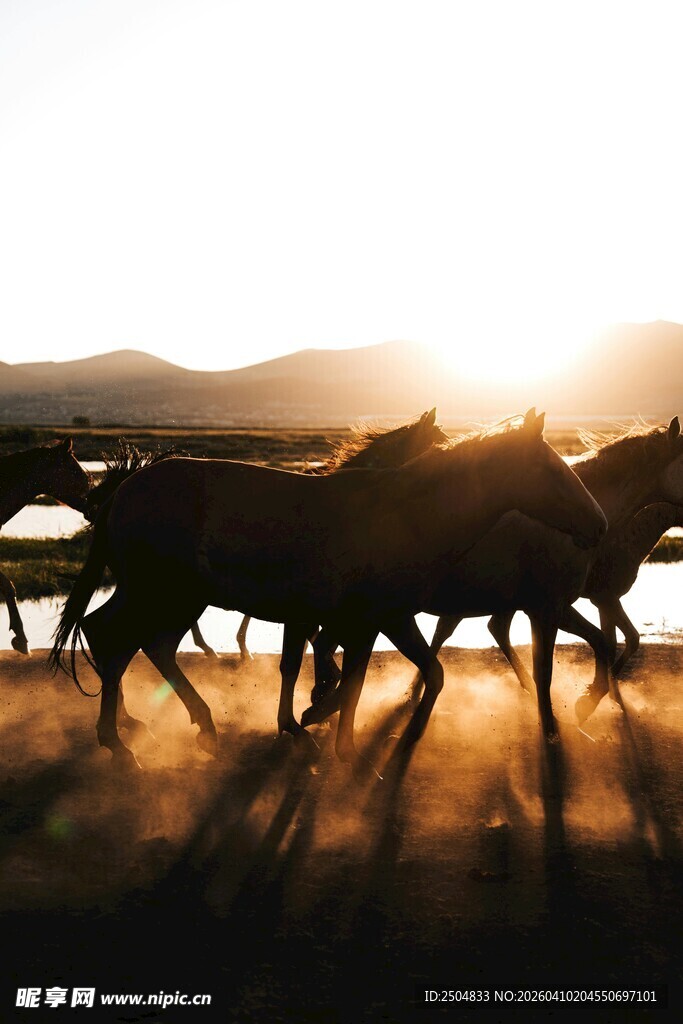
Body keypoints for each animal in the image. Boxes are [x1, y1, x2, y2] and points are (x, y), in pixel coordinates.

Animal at [49, 409, 606, 772]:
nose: (598, 524)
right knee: (116, 640)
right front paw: (350, 744)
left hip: (174, 597)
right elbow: (352, 680)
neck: (406, 517)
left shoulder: (382, 620)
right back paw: (122, 742)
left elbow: (410, 675)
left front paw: (350, 734)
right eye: (550, 468)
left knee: (140, 643)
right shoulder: (372, 619)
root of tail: (124, 489)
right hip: (160, 592)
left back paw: (193, 729)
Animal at [303, 418, 683, 743]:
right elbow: (559, 663)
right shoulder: (551, 607)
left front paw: (586, 703)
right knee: (328, 644)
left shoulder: (557, 605)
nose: (597, 527)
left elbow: (604, 642)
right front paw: (564, 719)